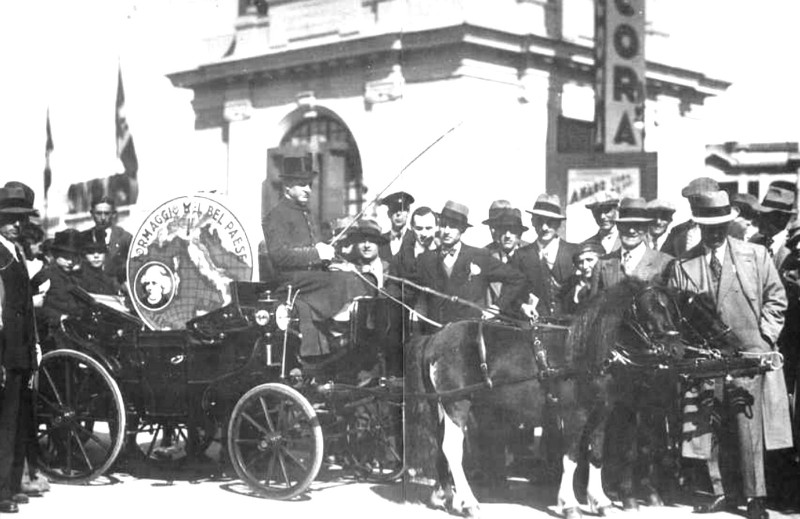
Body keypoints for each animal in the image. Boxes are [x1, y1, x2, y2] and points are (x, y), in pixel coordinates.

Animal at [406, 280, 744, 519]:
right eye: (648, 309)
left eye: (672, 310)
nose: (675, 349)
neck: (588, 352)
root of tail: (436, 338)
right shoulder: (575, 414)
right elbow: (570, 456)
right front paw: (570, 504)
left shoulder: (602, 412)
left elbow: (596, 453)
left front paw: (601, 501)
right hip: (457, 405)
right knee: (452, 449)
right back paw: (469, 502)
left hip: (444, 404)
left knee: (441, 446)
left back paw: (448, 496)